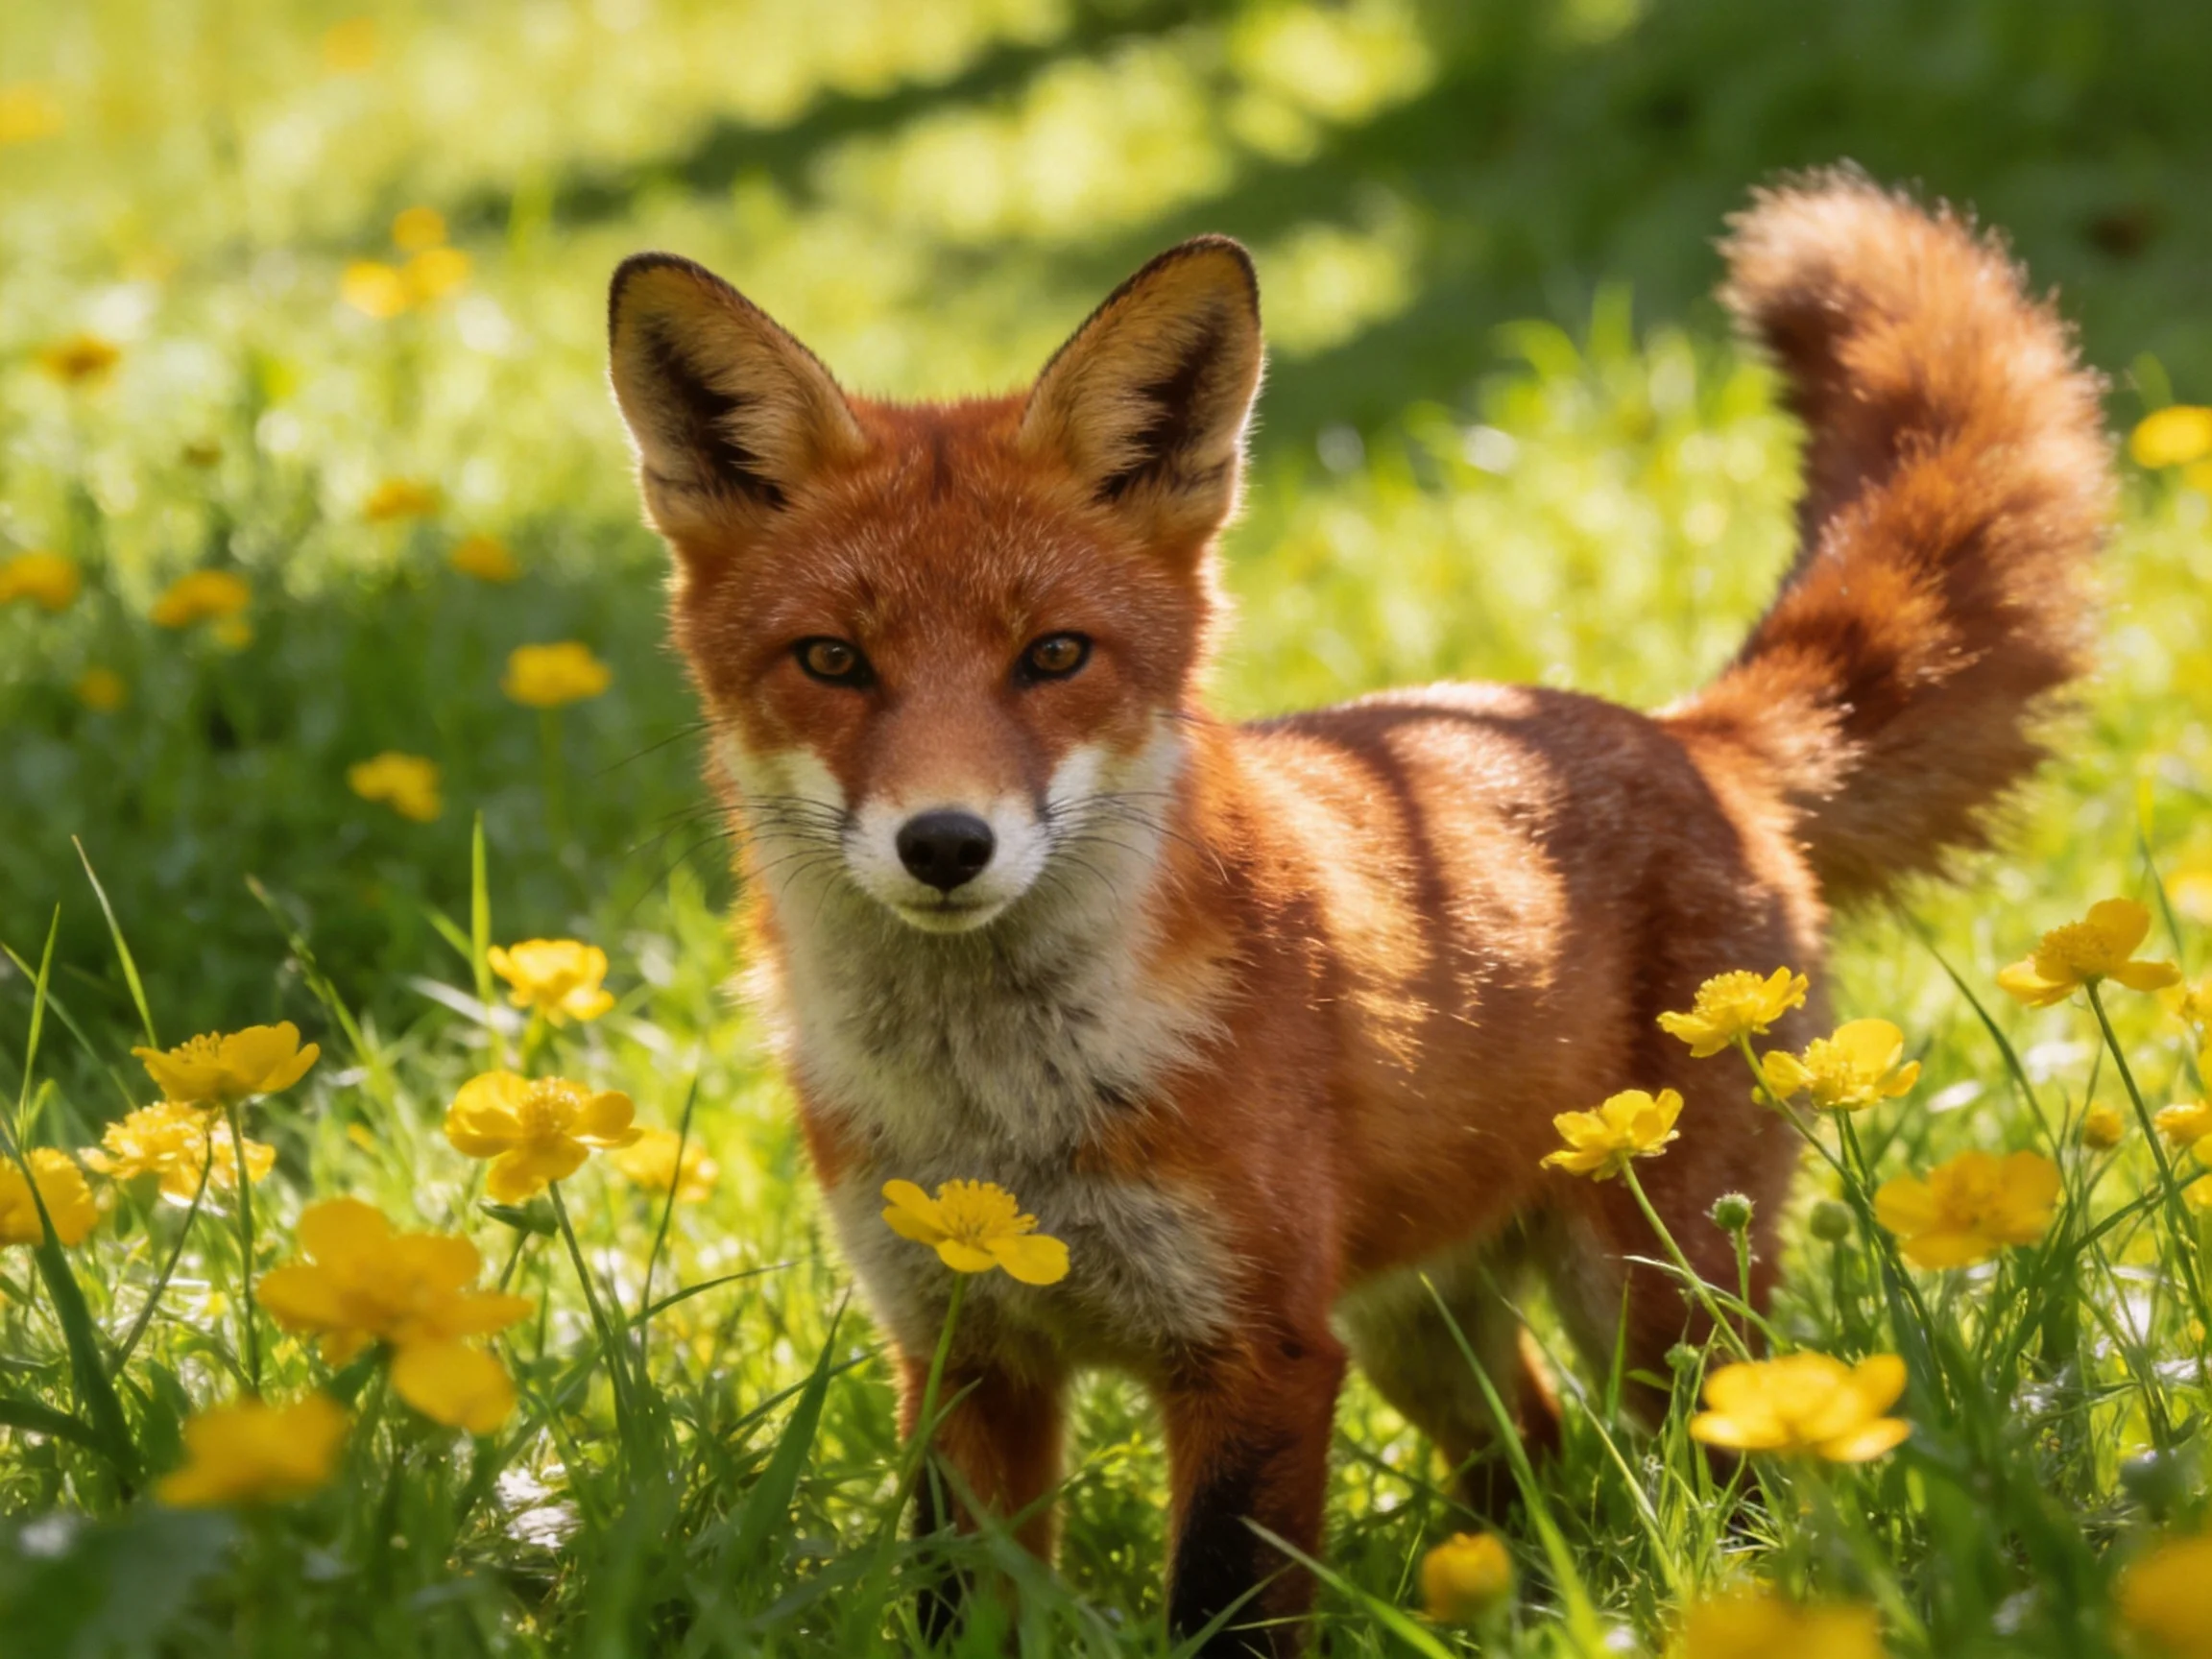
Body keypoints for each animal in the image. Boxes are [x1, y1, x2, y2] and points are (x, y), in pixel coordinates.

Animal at [604, 169, 2112, 1654]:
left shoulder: (1259, 1351)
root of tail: (1689, 734)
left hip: (1651, 1295)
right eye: (831, 662)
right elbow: (953, 1605)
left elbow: (1224, 1615)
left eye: (1054, 656)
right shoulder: (962, 1353)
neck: (1008, 1111)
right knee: (1536, 1454)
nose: (945, 844)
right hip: (1421, 1327)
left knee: (1736, 1474)